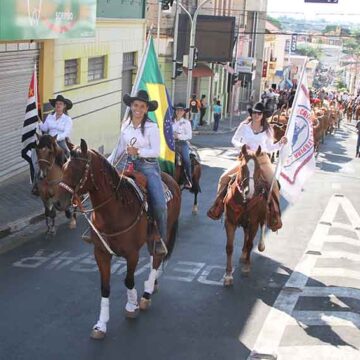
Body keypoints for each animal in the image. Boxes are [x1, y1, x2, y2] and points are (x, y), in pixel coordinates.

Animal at [53, 139, 181, 338]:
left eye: (78, 170)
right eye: (64, 167)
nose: (58, 203)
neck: (115, 210)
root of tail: (171, 179)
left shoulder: (132, 253)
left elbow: (128, 280)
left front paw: (131, 306)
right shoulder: (101, 253)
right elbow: (105, 287)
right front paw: (101, 325)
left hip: (164, 229)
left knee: (158, 256)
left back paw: (146, 295)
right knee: (155, 256)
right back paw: (152, 284)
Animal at [222, 145, 270, 286]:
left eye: (258, 168)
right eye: (243, 167)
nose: (250, 192)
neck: (244, 201)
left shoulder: (253, 223)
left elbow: (250, 244)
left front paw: (246, 267)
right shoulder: (230, 222)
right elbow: (229, 247)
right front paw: (228, 275)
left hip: (261, 216)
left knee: (262, 226)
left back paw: (260, 245)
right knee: (246, 233)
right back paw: (243, 254)